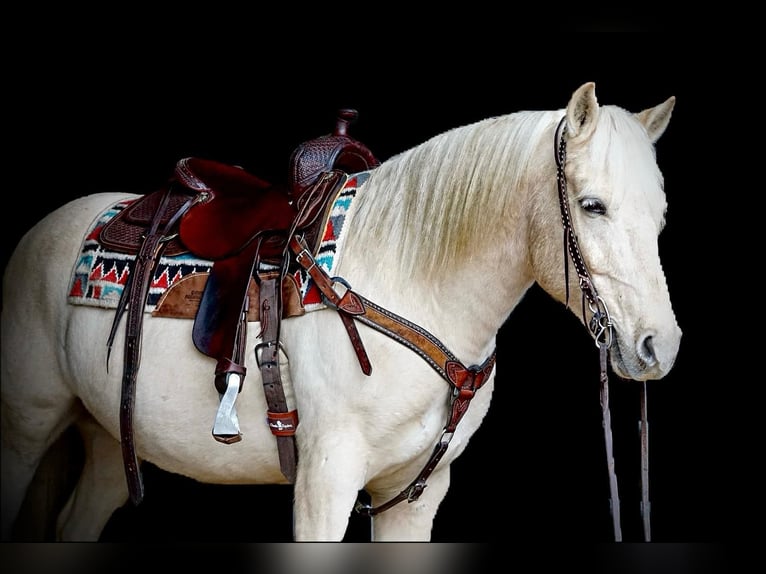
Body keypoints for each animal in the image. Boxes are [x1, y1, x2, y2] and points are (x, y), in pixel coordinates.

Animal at [0, 82, 681, 542]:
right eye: (592, 206)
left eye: (661, 214)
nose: (659, 347)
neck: (409, 277)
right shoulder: (324, 484)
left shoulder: (417, 495)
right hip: (26, 427)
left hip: (109, 436)